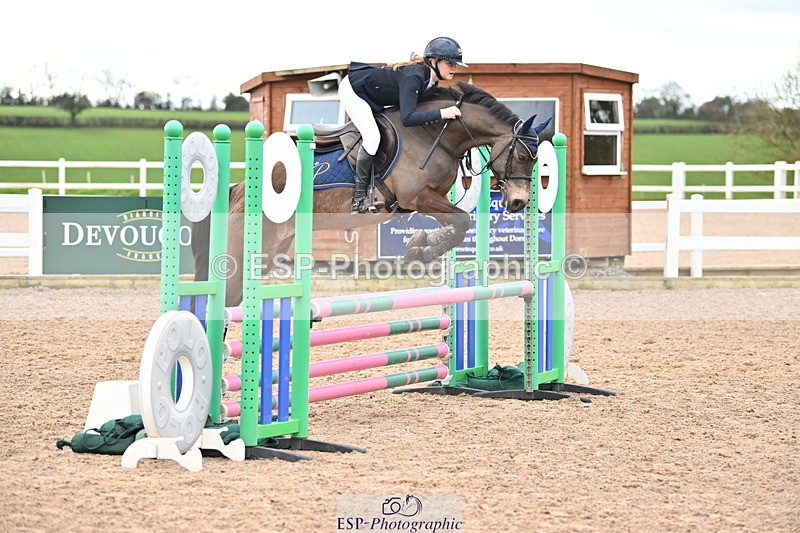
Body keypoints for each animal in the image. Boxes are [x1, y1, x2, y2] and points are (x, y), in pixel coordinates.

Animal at [192, 82, 543, 307]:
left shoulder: (428, 200)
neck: (436, 131)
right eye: (522, 155)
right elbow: (461, 223)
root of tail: (238, 191)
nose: (518, 202)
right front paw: (421, 251)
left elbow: (456, 226)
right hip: (244, 253)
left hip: (270, 251)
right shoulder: (417, 197)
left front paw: (421, 244)